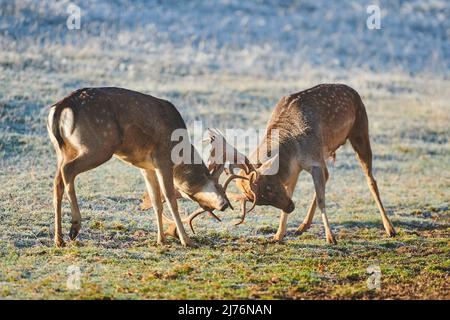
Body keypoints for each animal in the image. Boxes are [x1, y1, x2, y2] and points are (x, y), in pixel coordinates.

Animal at [47, 87, 232, 248]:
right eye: (217, 184)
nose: (225, 204)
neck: (180, 154)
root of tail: (61, 107)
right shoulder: (163, 158)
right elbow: (170, 199)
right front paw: (187, 241)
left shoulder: (146, 167)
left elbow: (156, 202)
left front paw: (161, 240)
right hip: (99, 145)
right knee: (68, 170)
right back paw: (74, 227)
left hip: (63, 150)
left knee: (57, 182)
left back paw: (59, 239)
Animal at [206, 84, 396, 244]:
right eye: (260, 201)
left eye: (269, 187)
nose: (290, 207)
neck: (292, 148)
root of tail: (354, 92)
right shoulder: (295, 169)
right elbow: (299, 192)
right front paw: (278, 235)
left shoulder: (313, 159)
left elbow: (321, 199)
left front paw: (331, 238)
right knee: (328, 176)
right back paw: (302, 226)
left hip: (360, 130)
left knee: (371, 180)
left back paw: (390, 228)